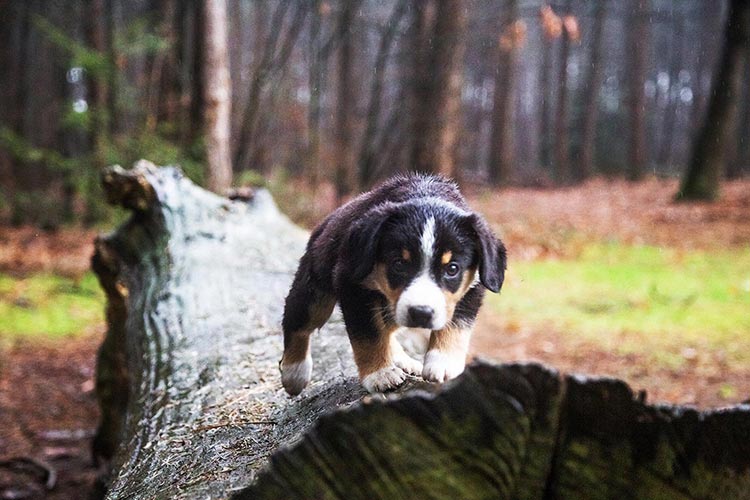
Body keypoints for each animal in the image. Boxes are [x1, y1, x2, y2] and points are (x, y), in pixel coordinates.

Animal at [280, 174, 508, 396]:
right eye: (399, 264)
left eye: (452, 268)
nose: (421, 313)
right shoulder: (353, 286)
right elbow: (369, 335)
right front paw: (379, 375)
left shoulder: (471, 287)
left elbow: (457, 326)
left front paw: (443, 364)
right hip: (315, 290)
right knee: (297, 323)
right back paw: (294, 373)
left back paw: (404, 360)